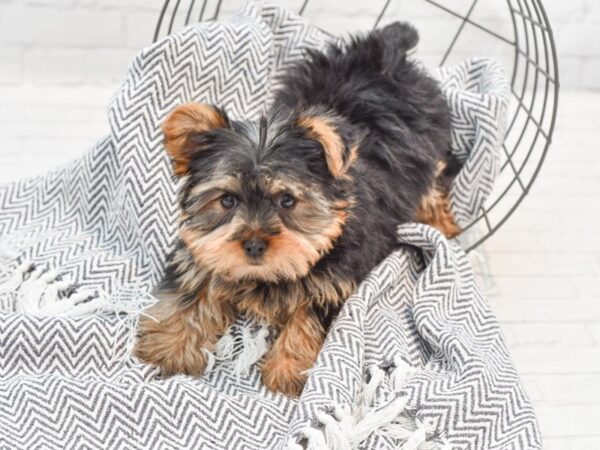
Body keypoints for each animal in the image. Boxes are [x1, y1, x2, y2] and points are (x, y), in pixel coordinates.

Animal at [135, 21, 460, 396]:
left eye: (287, 201)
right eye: (228, 200)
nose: (254, 244)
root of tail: (382, 52)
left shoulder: (333, 279)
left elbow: (308, 315)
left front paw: (288, 370)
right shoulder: (205, 249)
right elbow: (194, 290)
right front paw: (170, 346)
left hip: (431, 139)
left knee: (435, 177)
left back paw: (442, 222)